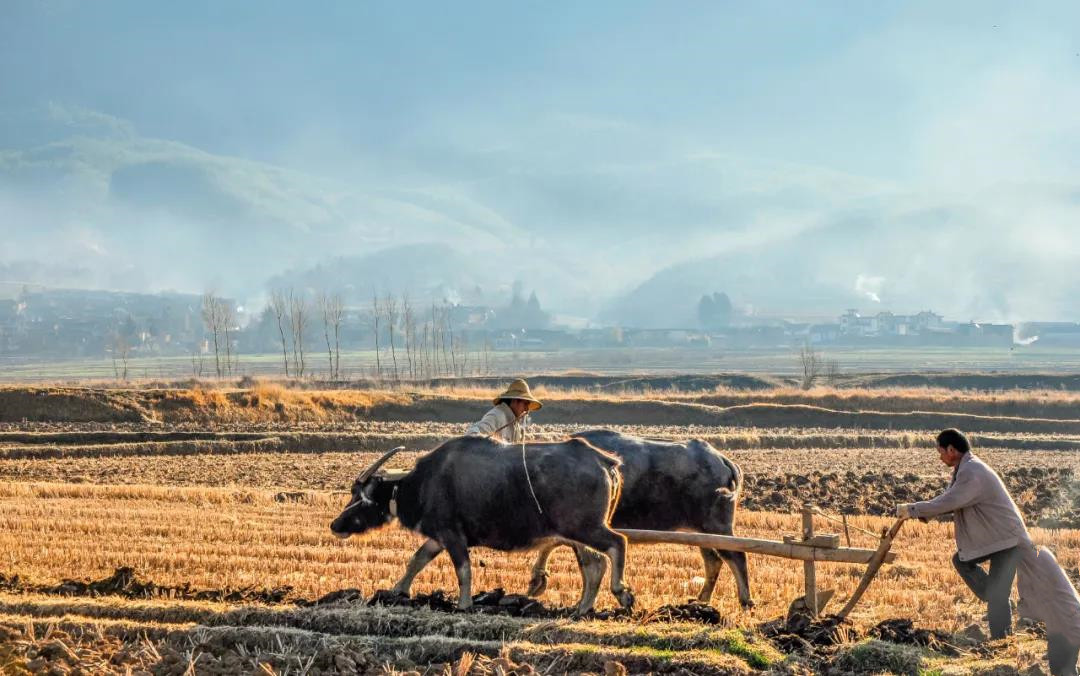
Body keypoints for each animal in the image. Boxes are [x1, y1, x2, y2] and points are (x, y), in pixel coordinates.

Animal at [328, 434, 630, 613]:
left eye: (358, 494)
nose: (335, 525)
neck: (423, 483)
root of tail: (603, 460)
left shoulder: (452, 536)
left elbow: (463, 570)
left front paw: (463, 605)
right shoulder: (438, 537)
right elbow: (417, 560)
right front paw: (396, 591)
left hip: (585, 528)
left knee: (617, 543)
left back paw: (622, 594)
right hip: (576, 534)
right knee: (594, 564)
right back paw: (582, 609)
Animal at [524, 429, 751, 609]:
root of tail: (721, 459)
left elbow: (577, 559)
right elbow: (557, 547)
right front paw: (538, 581)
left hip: (717, 526)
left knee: (736, 557)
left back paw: (745, 602)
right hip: (701, 531)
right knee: (713, 560)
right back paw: (701, 600)